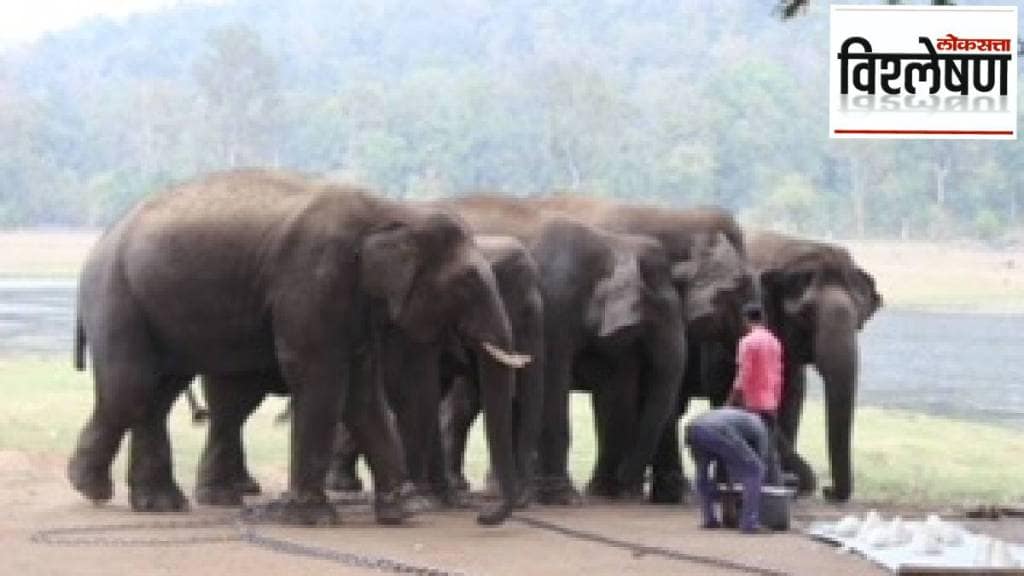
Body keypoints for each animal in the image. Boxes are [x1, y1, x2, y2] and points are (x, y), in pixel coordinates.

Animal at [68, 167, 528, 524]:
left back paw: (159, 504)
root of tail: (100, 241)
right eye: (467, 280)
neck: (391, 211)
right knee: (131, 390)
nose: (484, 516)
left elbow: (362, 395)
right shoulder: (312, 281)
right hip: (116, 297)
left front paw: (399, 512)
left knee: (157, 394)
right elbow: (321, 380)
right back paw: (91, 487)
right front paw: (315, 518)